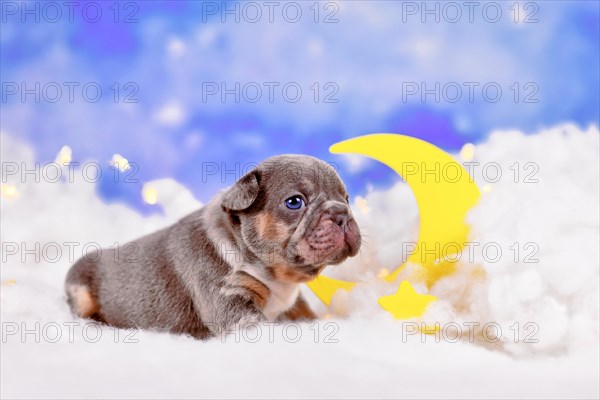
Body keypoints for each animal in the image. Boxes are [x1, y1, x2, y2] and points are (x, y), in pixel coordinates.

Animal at [68, 155, 364, 340]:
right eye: (295, 202)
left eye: (346, 198)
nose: (341, 213)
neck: (276, 275)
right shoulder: (230, 301)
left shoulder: (294, 304)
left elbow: (307, 314)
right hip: (80, 286)